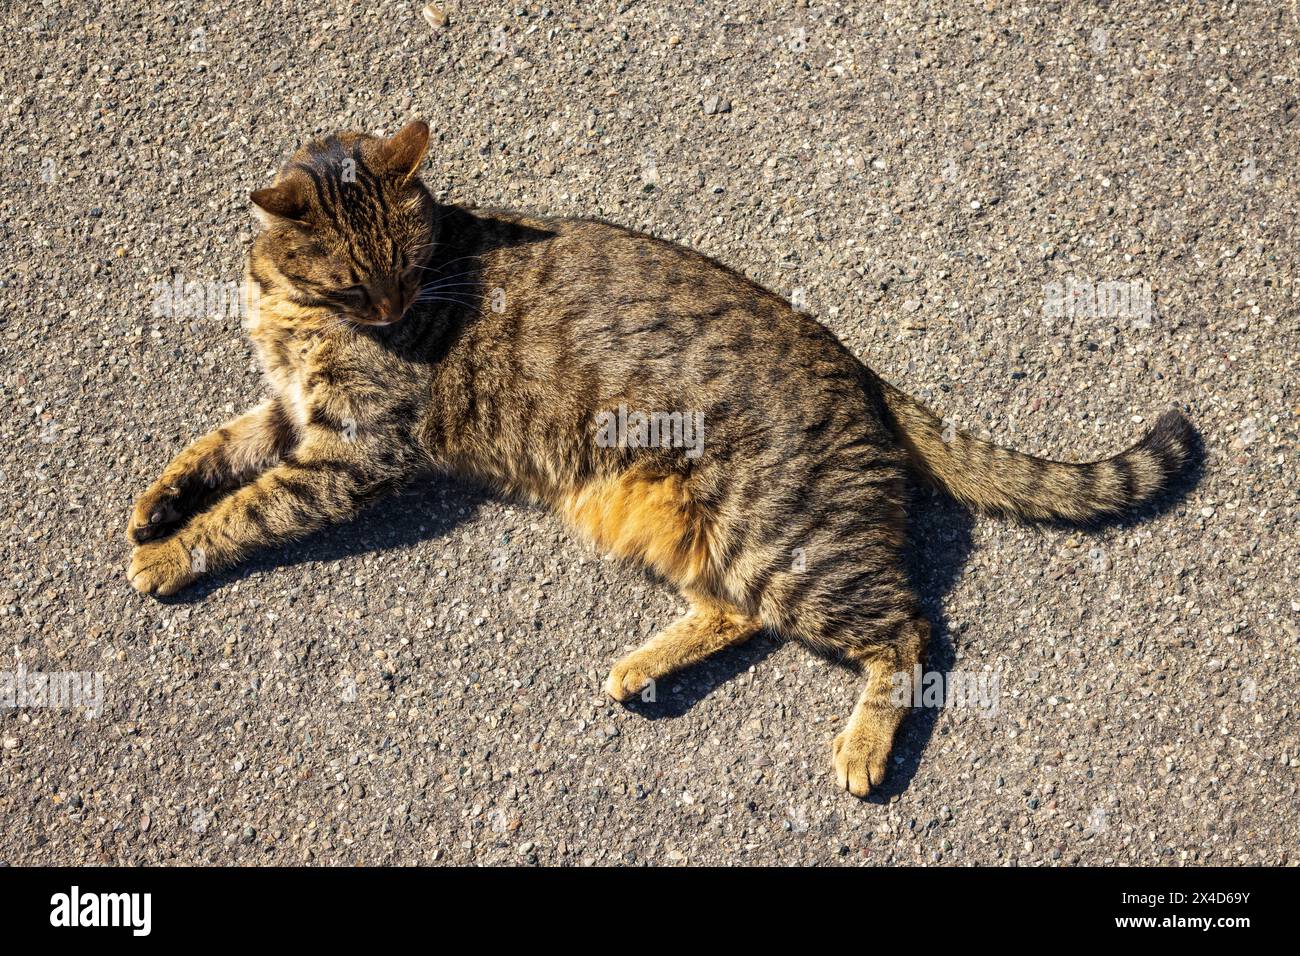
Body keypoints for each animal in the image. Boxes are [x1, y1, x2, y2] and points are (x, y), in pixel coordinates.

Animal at [126, 123, 1190, 806]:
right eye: (357, 282)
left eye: (411, 266)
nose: (393, 312)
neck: (291, 307)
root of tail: (855, 362)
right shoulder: (294, 414)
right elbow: (212, 449)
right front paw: (153, 504)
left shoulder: (355, 451)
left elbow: (249, 508)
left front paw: (171, 554)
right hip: (690, 530)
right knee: (739, 614)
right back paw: (639, 668)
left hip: (784, 541)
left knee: (911, 628)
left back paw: (861, 746)